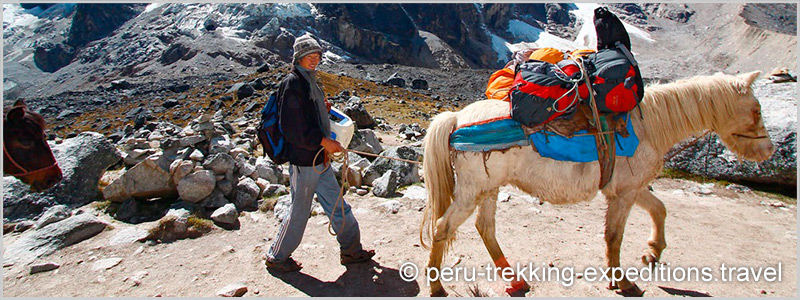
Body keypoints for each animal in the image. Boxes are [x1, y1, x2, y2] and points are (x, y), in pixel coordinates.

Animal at [422, 71, 772, 296]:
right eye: (756, 110)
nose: (769, 151)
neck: (648, 125)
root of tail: (456, 118)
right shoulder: (623, 194)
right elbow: (614, 237)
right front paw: (623, 281)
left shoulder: (630, 189)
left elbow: (659, 209)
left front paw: (652, 253)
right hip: (473, 192)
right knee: (443, 228)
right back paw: (437, 285)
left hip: (489, 190)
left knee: (485, 229)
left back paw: (516, 281)